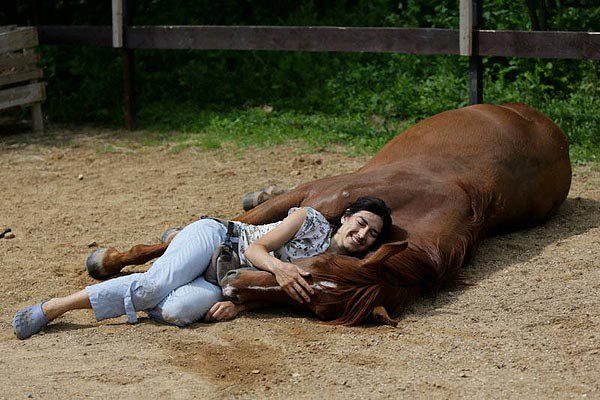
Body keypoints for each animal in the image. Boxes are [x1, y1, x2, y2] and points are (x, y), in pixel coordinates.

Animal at [88, 102, 572, 324]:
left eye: (312, 304)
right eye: (313, 269)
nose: (230, 282)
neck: (422, 202)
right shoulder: (314, 195)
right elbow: (205, 228)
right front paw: (107, 260)